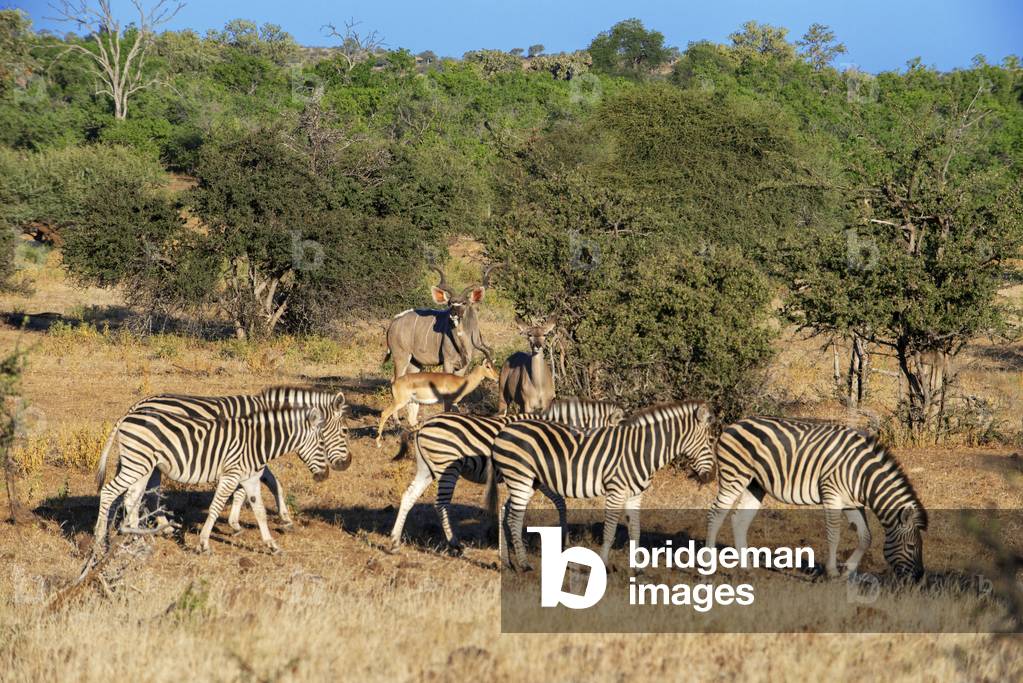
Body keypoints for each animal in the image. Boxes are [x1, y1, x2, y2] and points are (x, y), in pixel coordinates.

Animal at [93, 390, 349, 553]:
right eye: (345, 431)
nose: (344, 465)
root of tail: (136, 407)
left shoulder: (249, 468)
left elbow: (258, 500)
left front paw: (257, 531)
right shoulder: (237, 467)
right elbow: (260, 487)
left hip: (147, 464)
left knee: (137, 495)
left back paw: (142, 533)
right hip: (143, 463)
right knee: (119, 492)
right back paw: (105, 537)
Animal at [389, 398, 625, 555]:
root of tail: (423, 424)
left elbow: (519, 506)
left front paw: (509, 541)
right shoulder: (539, 473)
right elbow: (559, 502)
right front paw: (562, 540)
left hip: (426, 468)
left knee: (408, 497)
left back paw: (394, 541)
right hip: (447, 466)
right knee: (441, 504)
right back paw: (455, 544)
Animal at [487, 401, 716, 570]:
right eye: (708, 443)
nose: (712, 477)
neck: (641, 451)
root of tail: (504, 430)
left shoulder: (635, 495)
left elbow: (635, 530)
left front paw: (637, 569)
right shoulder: (616, 492)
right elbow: (610, 531)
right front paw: (604, 566)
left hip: (526, 481)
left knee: (506, 512)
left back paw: (507, 562)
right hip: (520, 477)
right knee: (514, 518)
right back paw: (524, 565)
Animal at [706, 417, 927, 580]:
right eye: (911, 547)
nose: (919, 578)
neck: (861, 474)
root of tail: (733, 425)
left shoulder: (852, 504)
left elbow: (866, 537)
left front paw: (847, 571)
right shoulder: (832, 494)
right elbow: (834, 534)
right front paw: (832, 572)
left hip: (755, 484)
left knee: (739, 519)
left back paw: (747, 569)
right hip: (734, 475)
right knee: (715, 514)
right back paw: (708, 564)